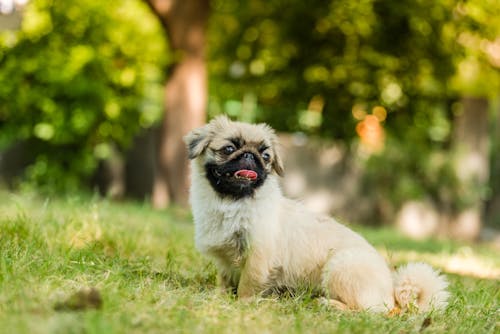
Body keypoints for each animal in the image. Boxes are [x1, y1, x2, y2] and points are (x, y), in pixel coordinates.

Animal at [185, 115, 450, 314]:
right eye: (229, 148)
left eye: (266, 156)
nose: (250, 155)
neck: (232, 202)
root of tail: (393, 295)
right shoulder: (225, 261)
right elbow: (224, 281)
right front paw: (219, 299)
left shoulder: (258, 257)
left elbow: (248, 285)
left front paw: (242, 305)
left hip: (341, 266)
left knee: (369, 311)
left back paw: (329, 304)